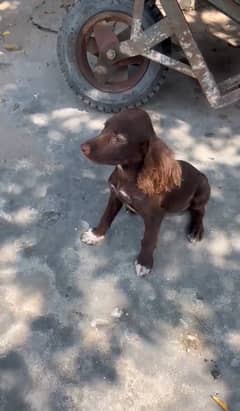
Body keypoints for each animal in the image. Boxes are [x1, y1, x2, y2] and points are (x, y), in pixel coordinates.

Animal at [80, 109, 210, 276]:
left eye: (119, 139)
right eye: (104, 127)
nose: (83, 147)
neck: (127, 176)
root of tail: (201, 173)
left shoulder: (155, 215)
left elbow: (149, 239)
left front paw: (144, 262)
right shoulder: (115, 195)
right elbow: (106, 217)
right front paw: (95, 235)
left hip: (202, 189)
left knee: (200, 210)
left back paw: (196, 230)